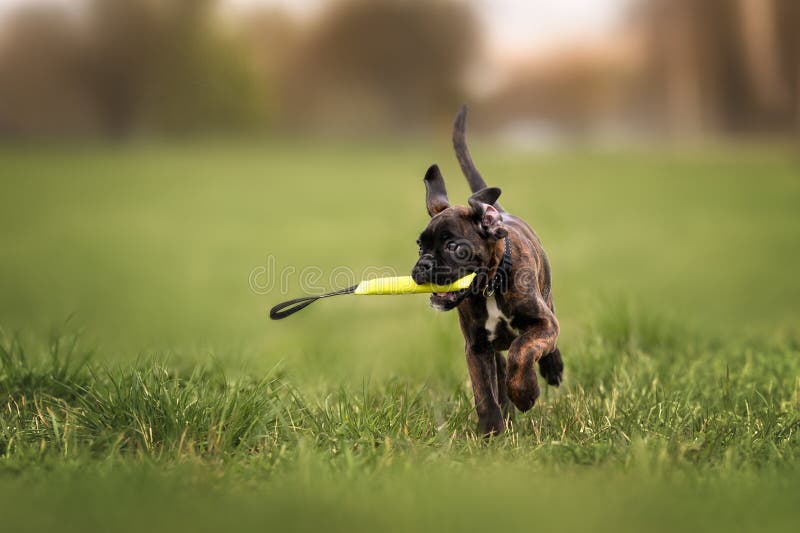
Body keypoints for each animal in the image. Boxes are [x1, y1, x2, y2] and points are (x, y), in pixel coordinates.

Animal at [412, 106, 564, 434]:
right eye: (420, 246)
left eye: (455, 247)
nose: (423, 265)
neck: (491, 286)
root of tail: (501, 212)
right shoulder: (476, 347)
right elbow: (484, 390)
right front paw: (492, 431)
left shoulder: (541, 325)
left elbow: (523, 350)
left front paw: (525, 393)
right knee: (500, 367)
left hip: (548, 302)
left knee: (538, 345)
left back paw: (551, 369)